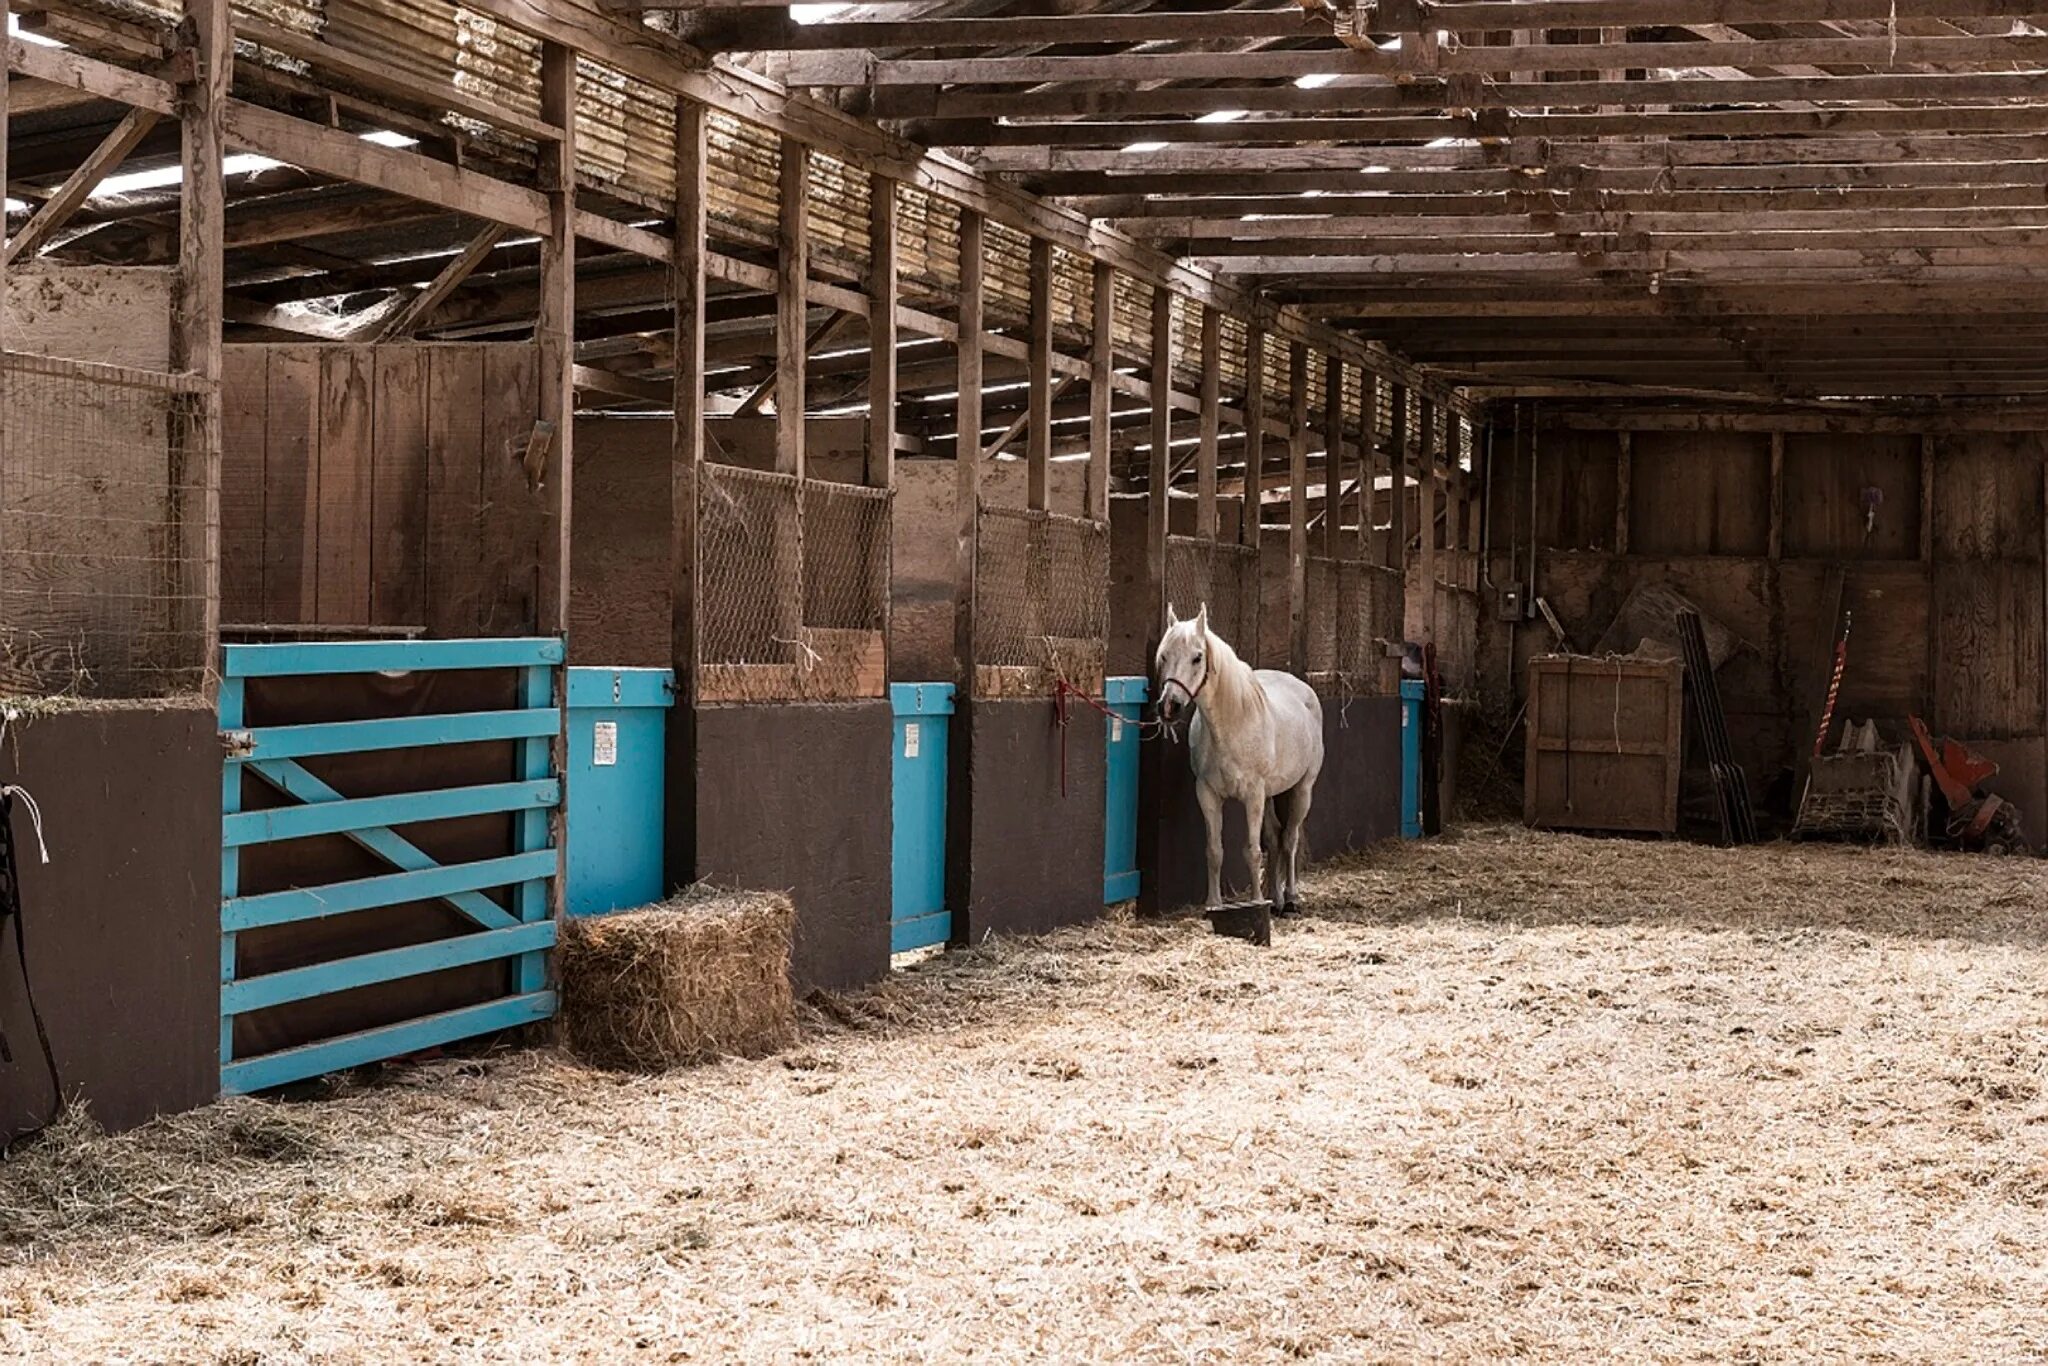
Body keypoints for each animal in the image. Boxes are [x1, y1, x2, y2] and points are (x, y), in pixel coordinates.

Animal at [1155, 602, 1327, 913]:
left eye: (1197, 657)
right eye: (1164, 656)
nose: (1169, 707)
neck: (1231, 726)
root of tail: (1303, 688)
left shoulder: (1253, 795)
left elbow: (1252, 851)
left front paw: (1256, 901)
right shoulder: (1208, 794)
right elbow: (1215, 851)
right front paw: (1213, 904)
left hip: (1302, 790)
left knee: (1290, 839)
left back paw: (1291, 899)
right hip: (1271, 794)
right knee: (1274, 837)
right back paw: (1276, 900)